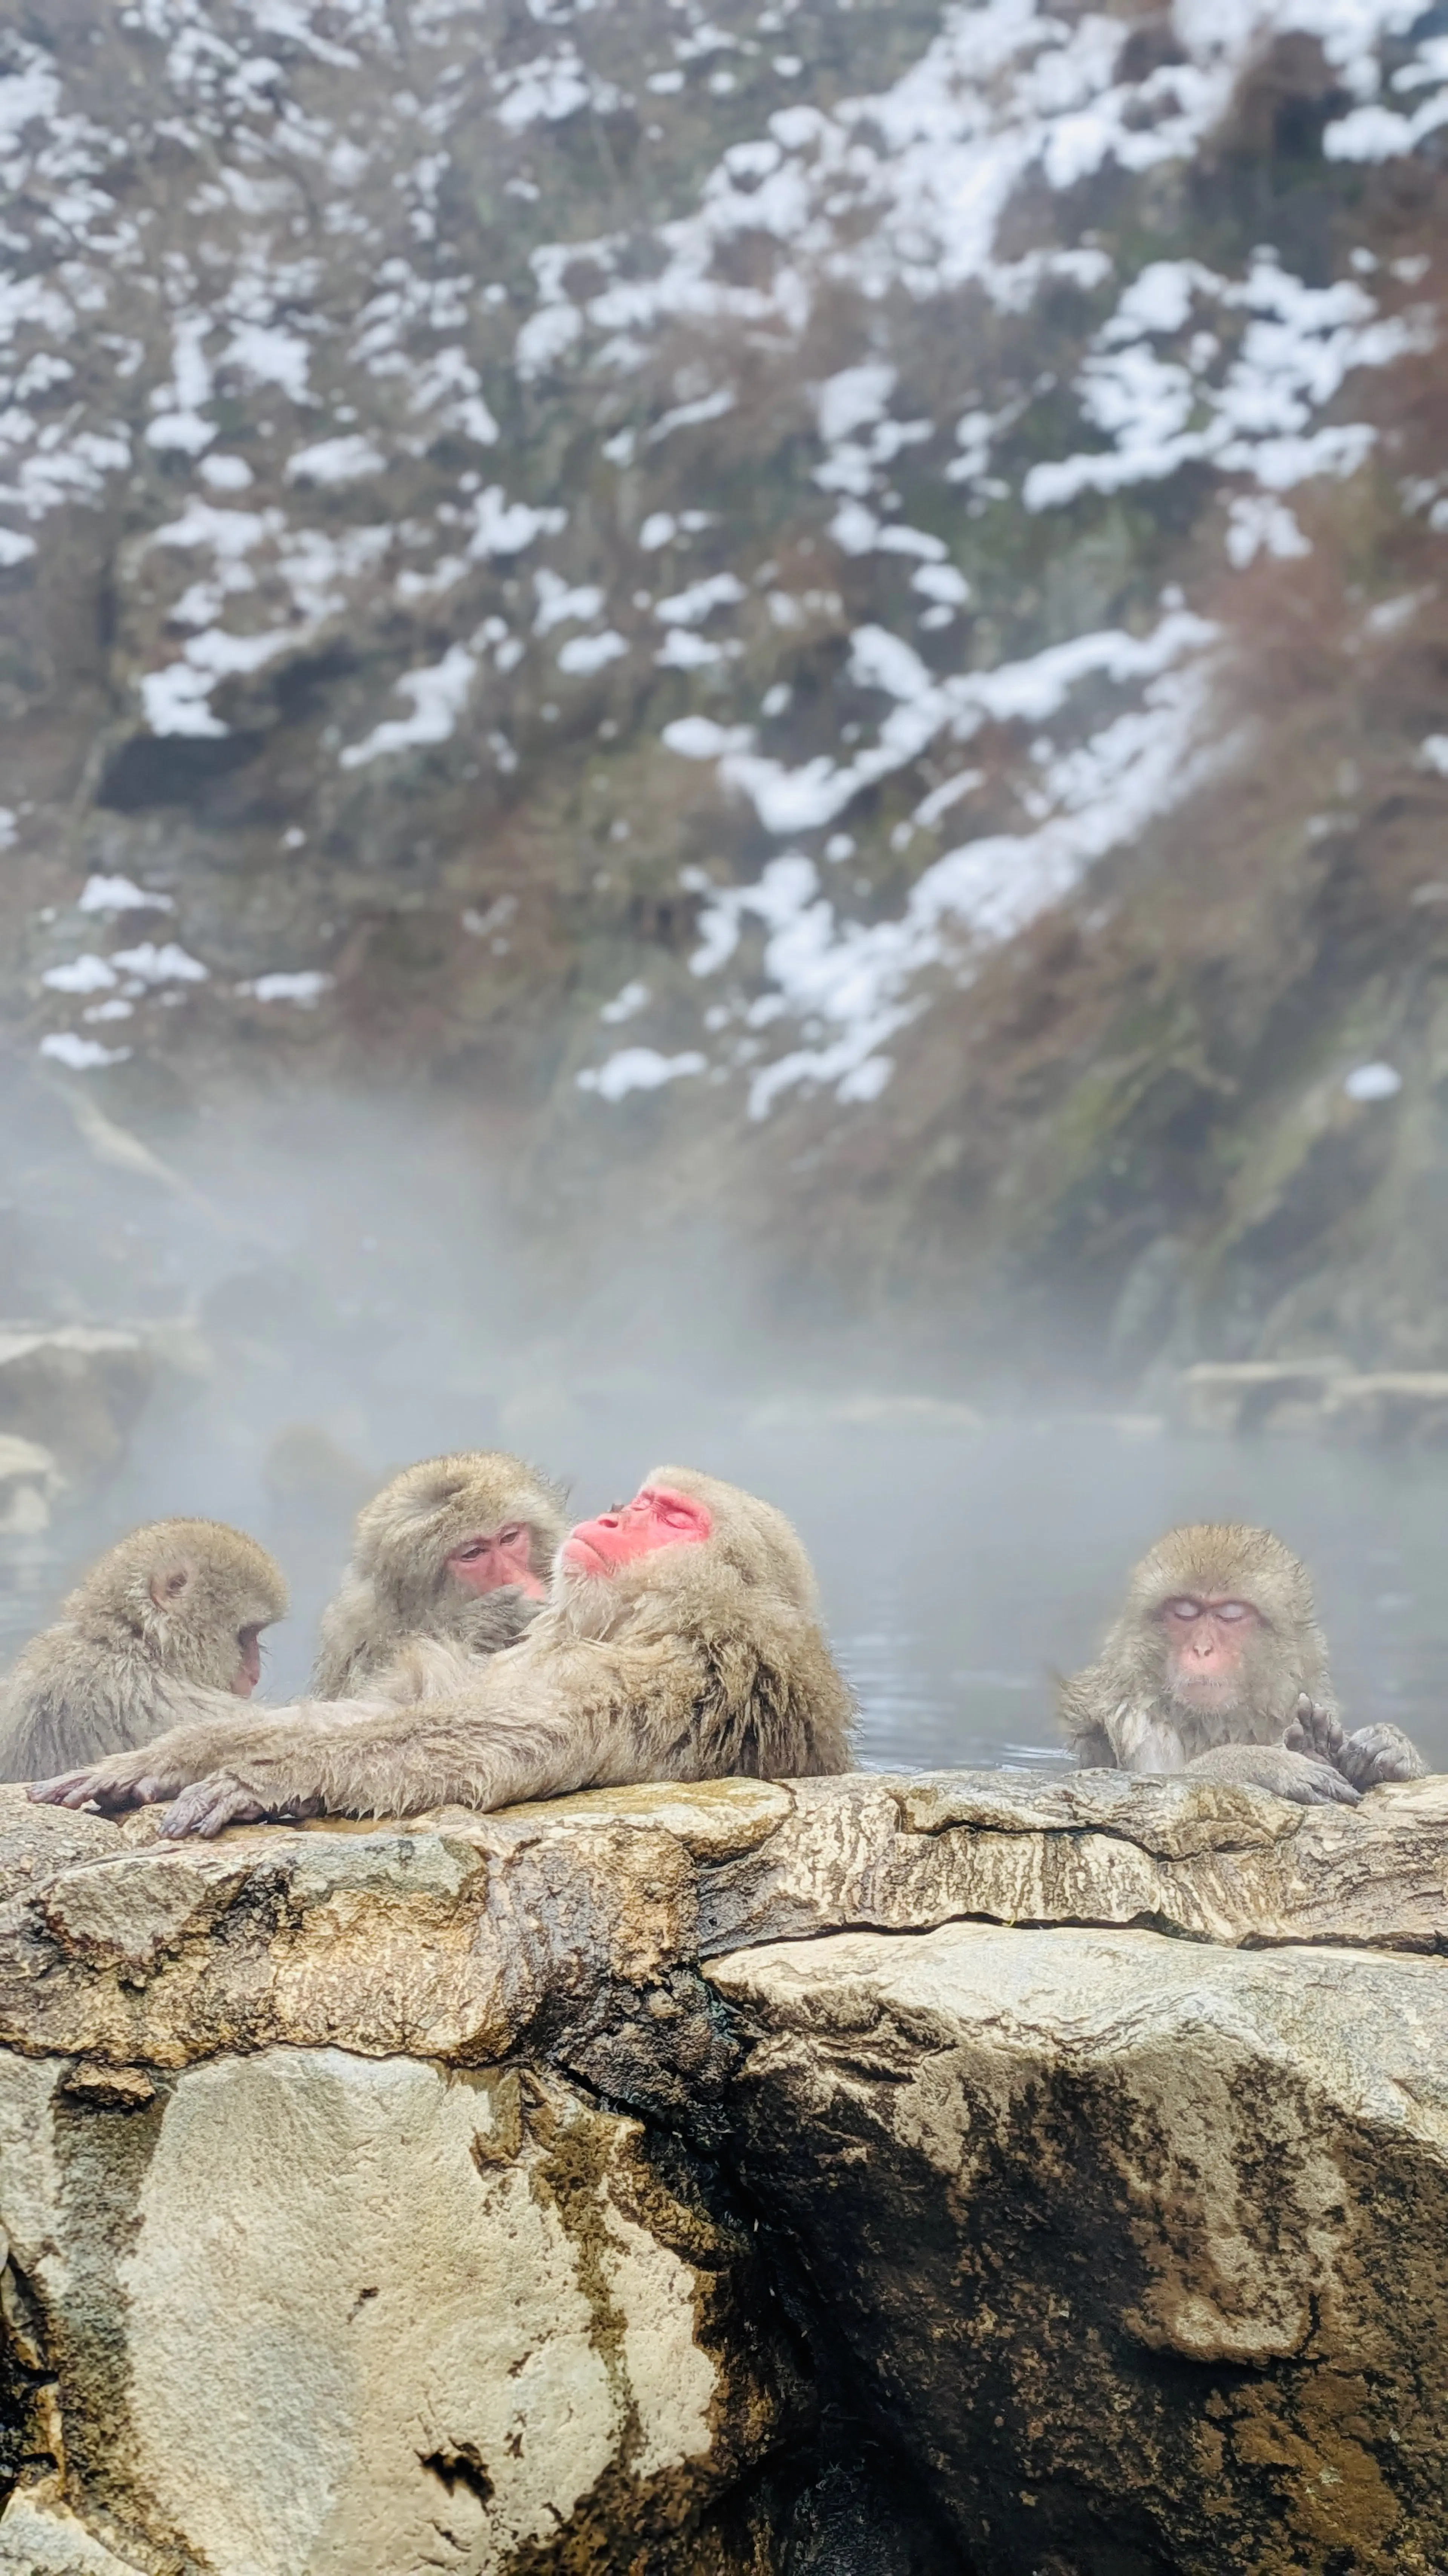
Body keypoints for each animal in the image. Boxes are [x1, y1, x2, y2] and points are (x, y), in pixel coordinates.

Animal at [1060, 1522, 1428, 1806]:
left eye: (1231, 1615)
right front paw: (1261, 1764)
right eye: (1186, 1612)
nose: (1202, 1649)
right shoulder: (1134, 1721)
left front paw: (1392, 1747)